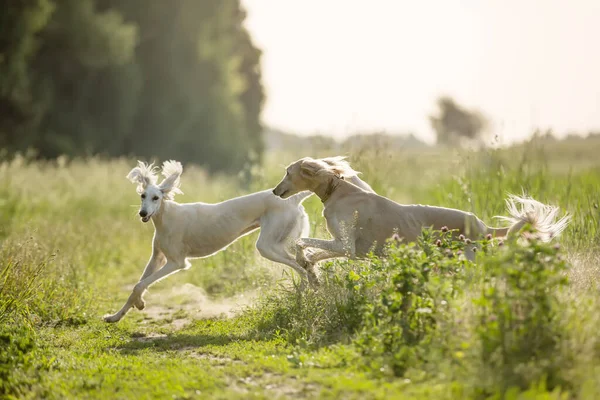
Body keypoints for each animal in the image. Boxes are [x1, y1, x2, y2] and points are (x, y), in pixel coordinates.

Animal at [104, 159, 376, 322]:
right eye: (142, 196)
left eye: (157, 198)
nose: (143, 214)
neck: (166, 218)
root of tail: (290, 198)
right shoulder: (157, 258)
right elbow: (137, 285)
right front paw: (118, 315)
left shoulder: (177, 263)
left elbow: (141, 283)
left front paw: (137, 304)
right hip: (276, 243)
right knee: (306, 263)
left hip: (267, 245)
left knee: (302, 266)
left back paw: (308, 288)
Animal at [274, 156, 572, 268]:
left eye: (287, 172)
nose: (276, 191)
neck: (338, 190)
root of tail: (483, 227)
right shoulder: (350, 250)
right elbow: (316, 252)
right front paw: (308, 265)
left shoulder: (346, 245)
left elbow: (303, 242)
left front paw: (303, 258)